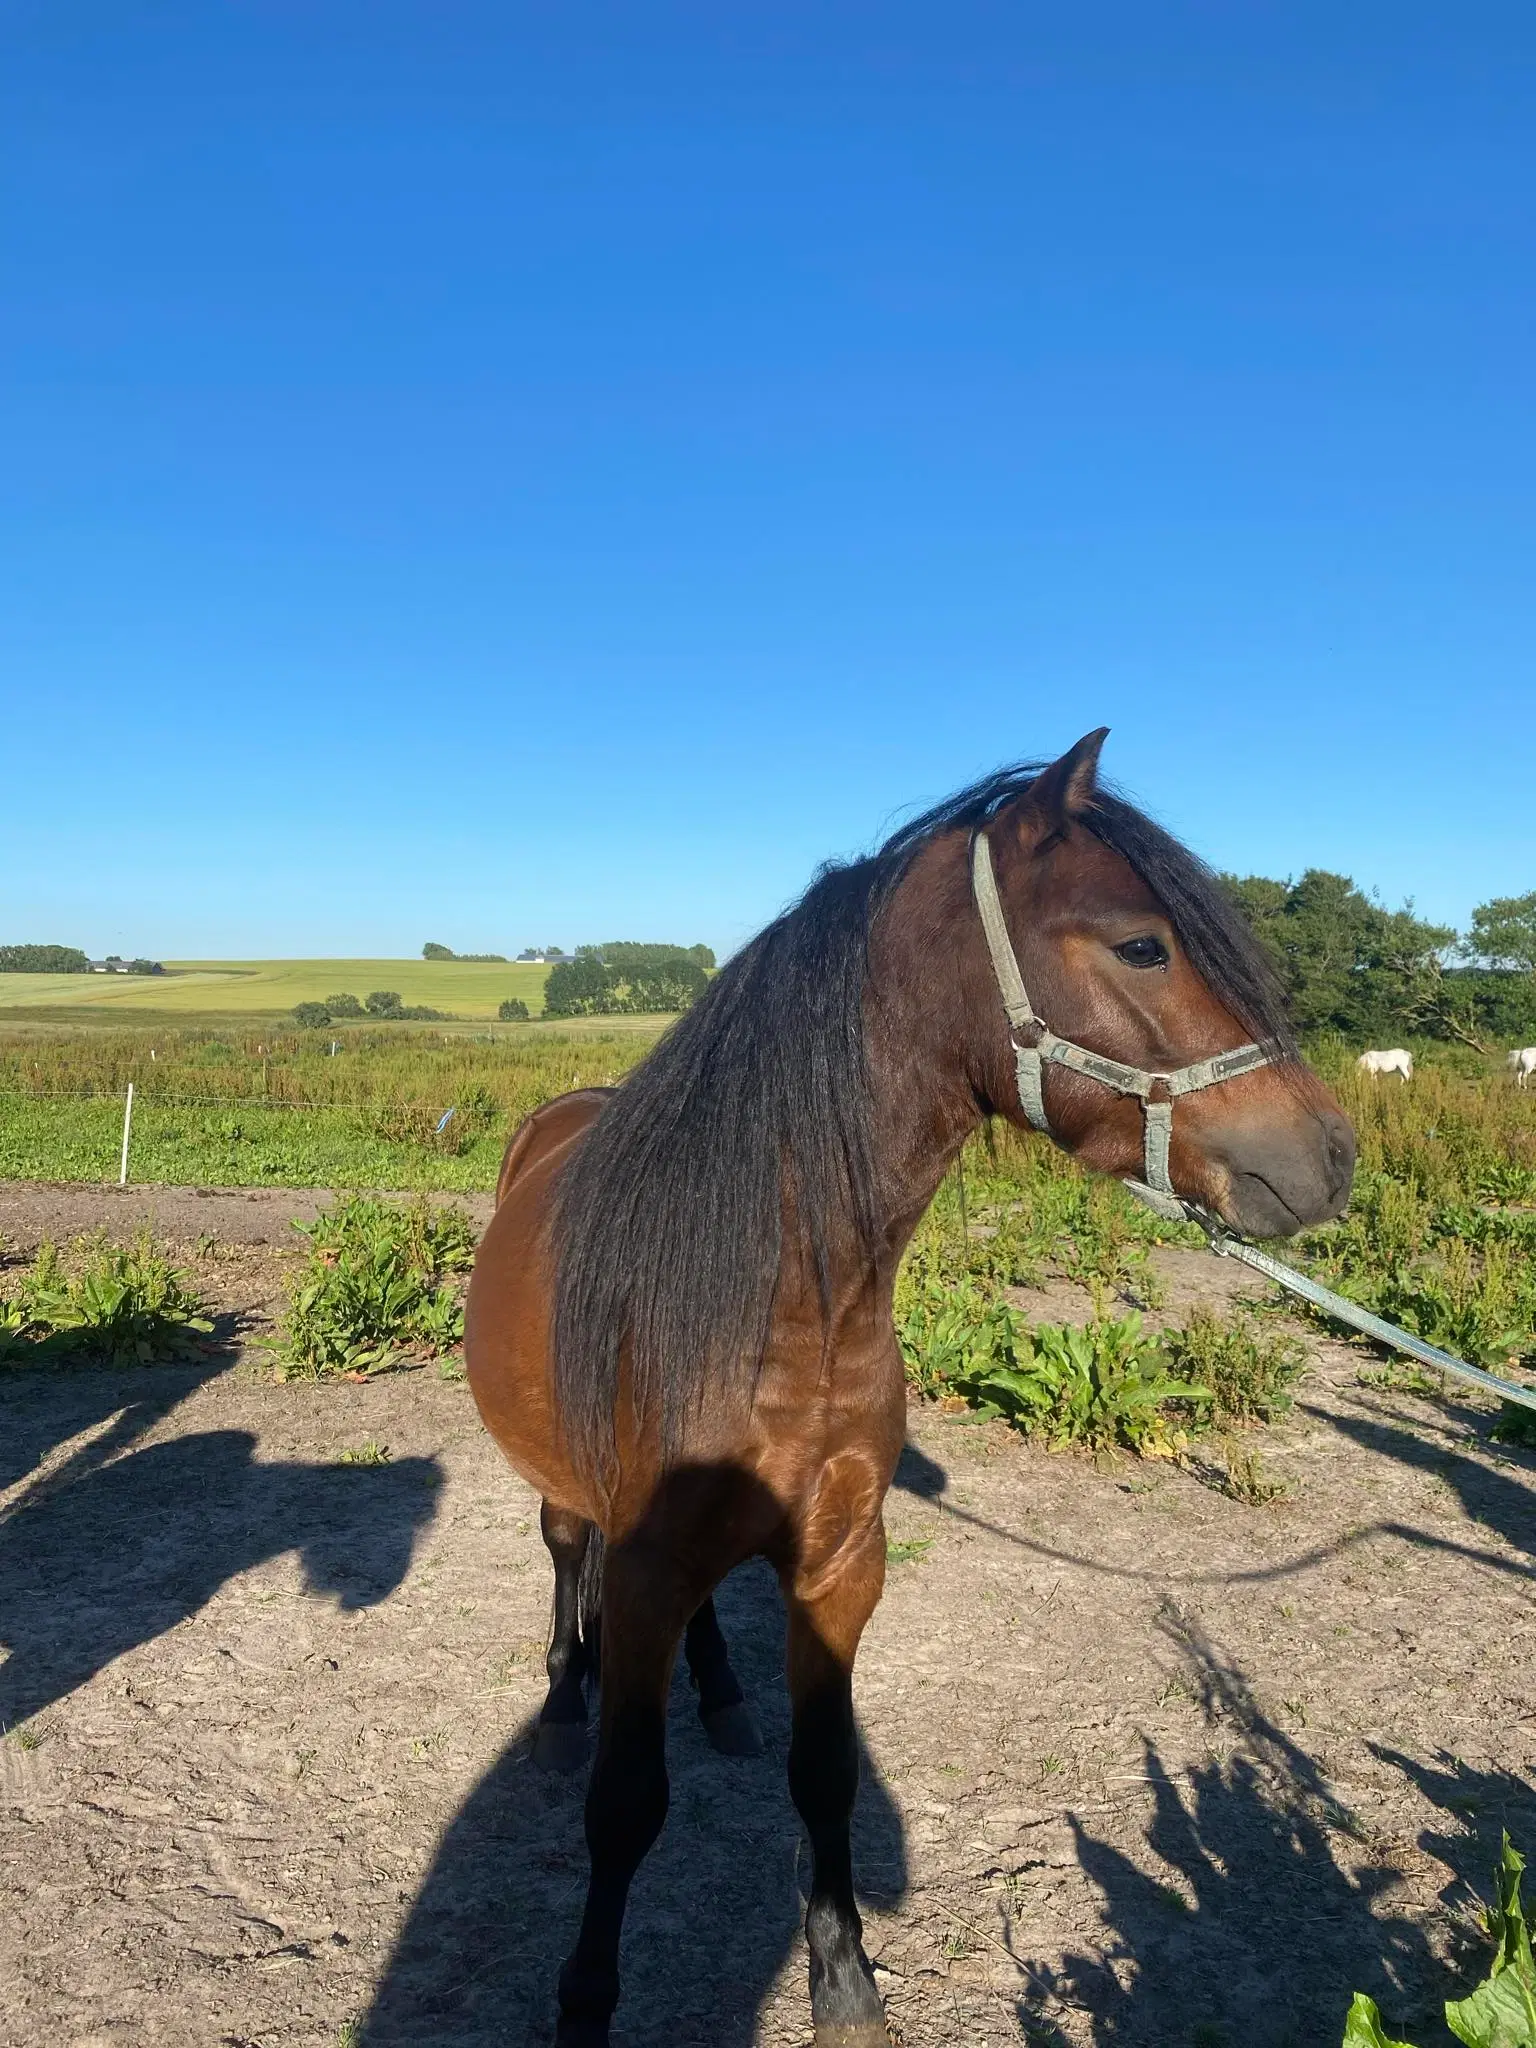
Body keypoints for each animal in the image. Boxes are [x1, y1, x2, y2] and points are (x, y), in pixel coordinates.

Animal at [468, 737, 1359, 2048]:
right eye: (1143, 944)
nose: (1331, 1154)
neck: (784, 1300)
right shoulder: (640, 1566)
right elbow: (624, 1800)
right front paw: (585, 2001)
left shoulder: (845, 1556)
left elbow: (826, 1771)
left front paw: (844, 1982)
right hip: (564, 1487)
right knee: (561, 1554)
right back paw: (558, 1704)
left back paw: (721, 1697)